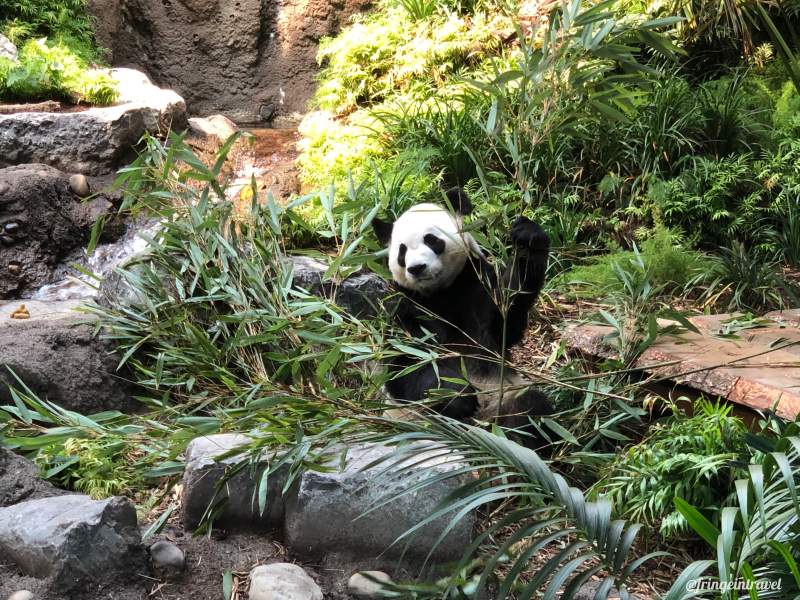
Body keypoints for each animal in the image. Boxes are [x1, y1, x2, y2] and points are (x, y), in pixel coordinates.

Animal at [374, 188, 552, 446]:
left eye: (431, 239)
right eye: (402, 251)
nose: (416, 268)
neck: (443, 292)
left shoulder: (478, 286)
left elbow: (508, 318)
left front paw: (528, 239)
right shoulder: (406, 307)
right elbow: (405, 363)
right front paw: (457, 397)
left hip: (503, 394)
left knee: (529, 409)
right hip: (414, 423)